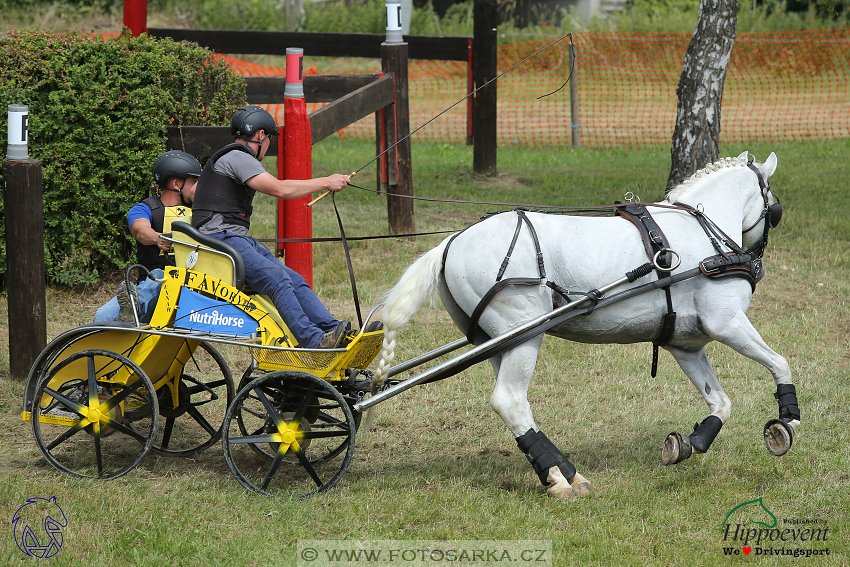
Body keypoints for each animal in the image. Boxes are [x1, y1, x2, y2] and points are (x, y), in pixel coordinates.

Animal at [372, 151, 796, 496]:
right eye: (774, 208)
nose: (757, 262)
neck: (705, 239)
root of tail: (450, 243)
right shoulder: (727, 323)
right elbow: (780, 362)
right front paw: (786, 421)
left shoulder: (685, 345)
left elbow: (720, 402)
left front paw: (691, 443)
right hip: (524, 334)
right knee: (509, 399)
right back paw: (559, 478)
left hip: (497, 342)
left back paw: (565, 473)